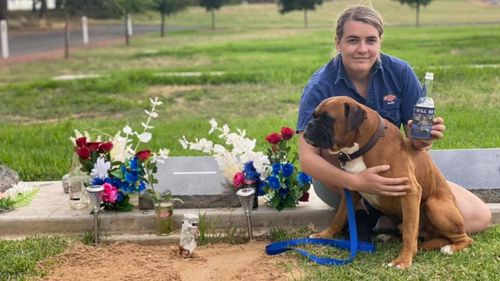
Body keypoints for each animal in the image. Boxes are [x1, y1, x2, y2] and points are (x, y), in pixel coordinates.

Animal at [302, 95, 470, 266]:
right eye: (314, 115)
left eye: (328, 119)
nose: (309, 124)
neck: (366, 145)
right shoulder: (351, 190)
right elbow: (339, 218)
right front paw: (325, 235)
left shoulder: (410, 192)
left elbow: (410, 231)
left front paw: (403, 260)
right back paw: (391, 237)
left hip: (434, 205)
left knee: (464, 238)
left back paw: (450, 247)